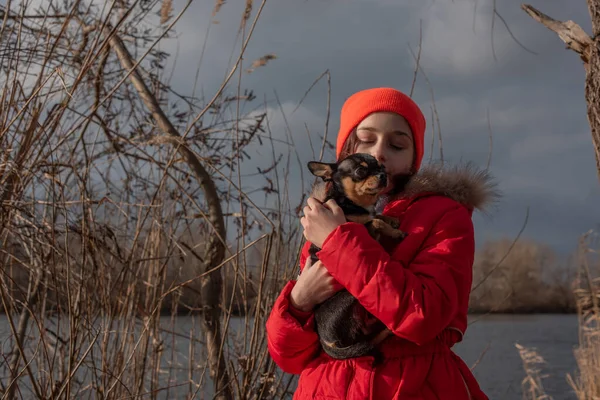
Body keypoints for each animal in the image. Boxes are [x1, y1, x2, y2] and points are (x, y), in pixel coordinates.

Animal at [304, 154, 408, 366]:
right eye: (361, 171)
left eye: (382, 167)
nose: (383, 175)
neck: (351, 203)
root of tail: (326, 342)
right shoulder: (362, 228)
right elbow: (375, 221)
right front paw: (395, 231)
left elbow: (377, 215)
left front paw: (392, 219)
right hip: (352, 296)